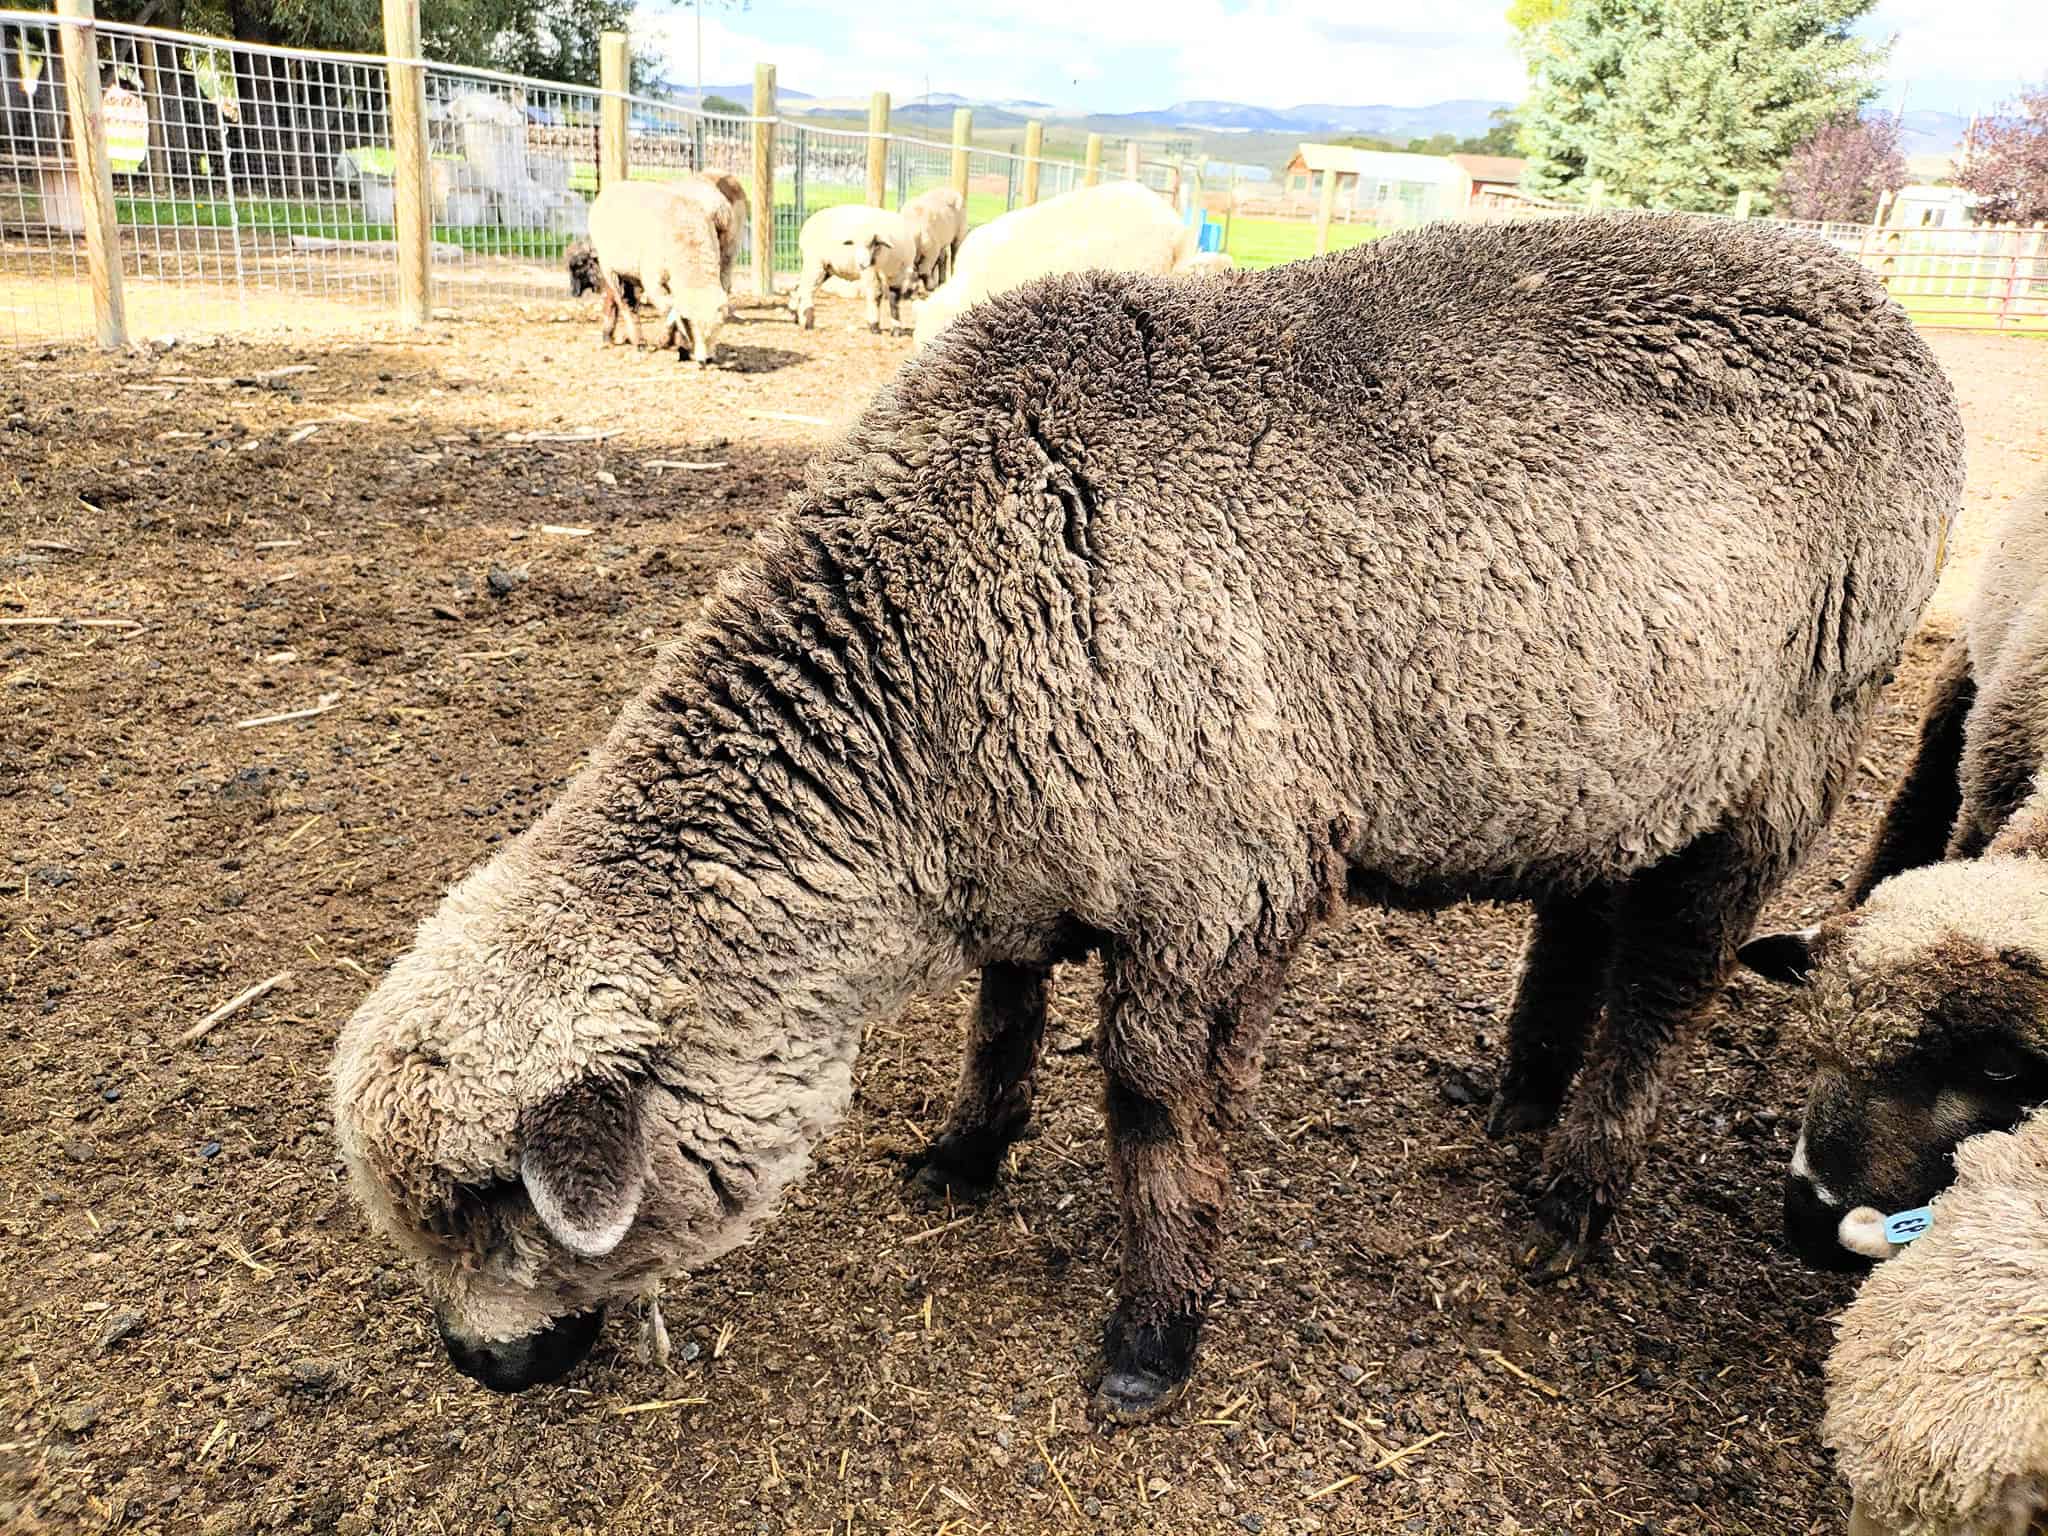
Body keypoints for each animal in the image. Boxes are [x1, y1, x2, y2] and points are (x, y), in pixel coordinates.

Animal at [782, 204, 913, 333]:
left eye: (873, 243)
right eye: (853, 244)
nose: (861, 264)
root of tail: (808, 222)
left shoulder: (900, 275)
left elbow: (895, 298)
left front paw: (897, 330)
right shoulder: (870, 271)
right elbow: (876, 295)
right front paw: (874, 326)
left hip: (825, 268)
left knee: (800, 286)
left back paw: (796, 315)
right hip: (814, 262)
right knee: (806, 289)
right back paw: (807, 322)